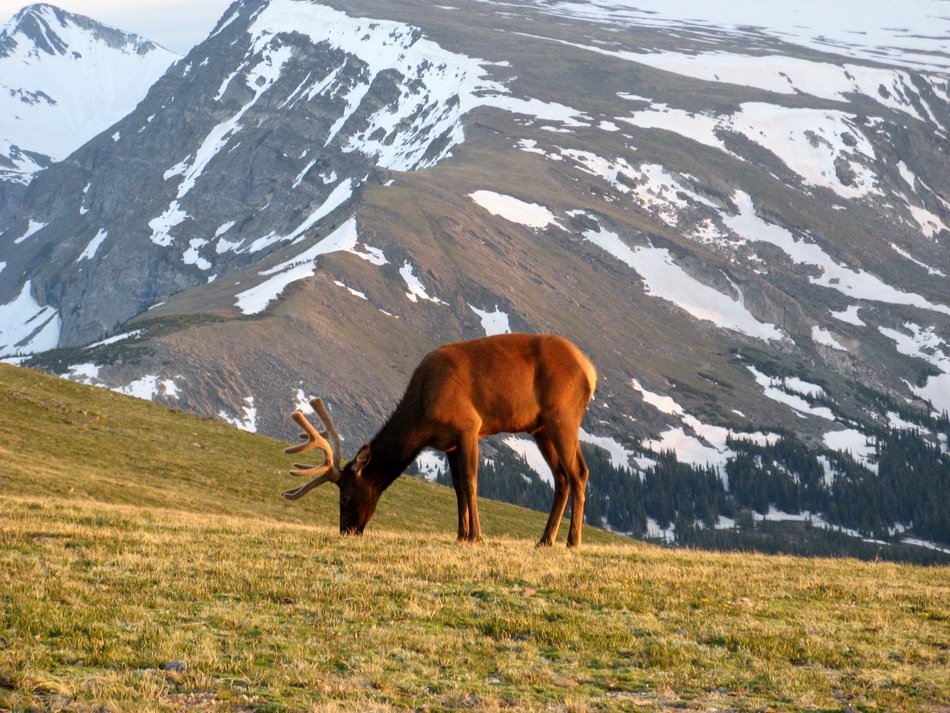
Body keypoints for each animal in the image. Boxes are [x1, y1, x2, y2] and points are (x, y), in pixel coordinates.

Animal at [281, 333, 598, 547]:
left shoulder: (468, 426)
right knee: (561, 477)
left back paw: (572, 542)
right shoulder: (449, 443)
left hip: (562, 415)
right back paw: (545, 540)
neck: (423, 414)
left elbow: (470, 482)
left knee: (579, 472)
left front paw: (476, 536)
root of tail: (590, 371)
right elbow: (457, 488)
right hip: (540, 427)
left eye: (345, 496)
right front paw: (461, 535)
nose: (346, 530)